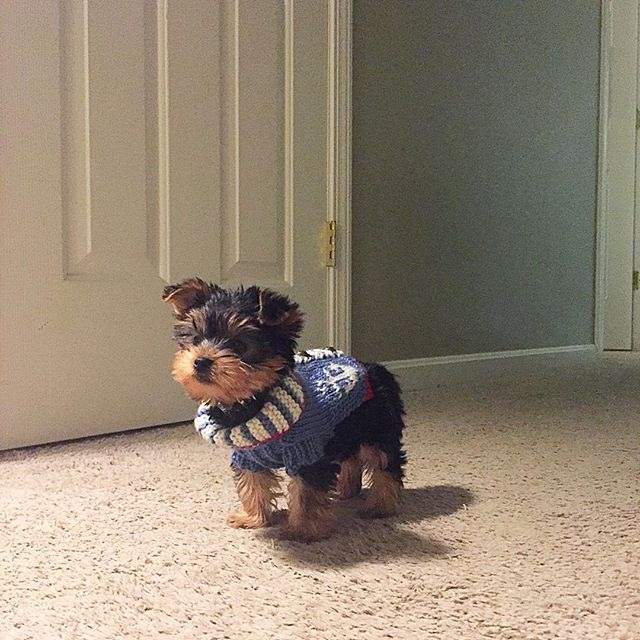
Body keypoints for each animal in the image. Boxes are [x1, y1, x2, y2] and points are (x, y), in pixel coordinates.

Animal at [163, 278, 406, 542]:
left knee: (386, 463)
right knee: (351, 457)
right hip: (345, 430)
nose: (200, 361)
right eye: (196, 339)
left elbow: (306, 494)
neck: (251, 402)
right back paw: (346, 491)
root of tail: (373, 368)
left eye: (239, 344)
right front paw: (253, 518)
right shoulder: (248, 455)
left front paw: (303, 531)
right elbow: (253, 483)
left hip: (379, 427)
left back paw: (380, 506)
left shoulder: (307, 455)